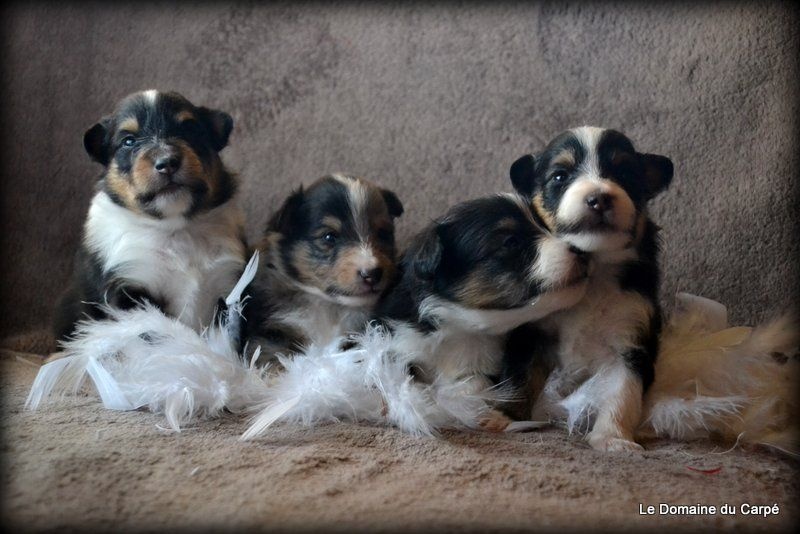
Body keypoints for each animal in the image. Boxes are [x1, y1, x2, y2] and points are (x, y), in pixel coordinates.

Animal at [53, 91, 247, 344]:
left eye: (190, 129)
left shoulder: (228, 285)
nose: (167, 162)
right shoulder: (130, 287)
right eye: (128, 141)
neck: (174, 227)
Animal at [376, 195, 588, 434]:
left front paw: (494, 415)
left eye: (546, 227)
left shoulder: (523, 344)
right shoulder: (399, 339)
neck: (463, 327)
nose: (584, 251)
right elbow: (398, 374)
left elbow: (509, 379)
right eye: (511, 242)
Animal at [506, 126, 676, 452]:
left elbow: (622, 393)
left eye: (624, 173)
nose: (599, 198)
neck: (593, 271)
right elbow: (521, 381)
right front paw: (513, 421)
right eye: (560, 176)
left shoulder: (632, 339)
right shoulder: (527, 334)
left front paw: (612, 439)